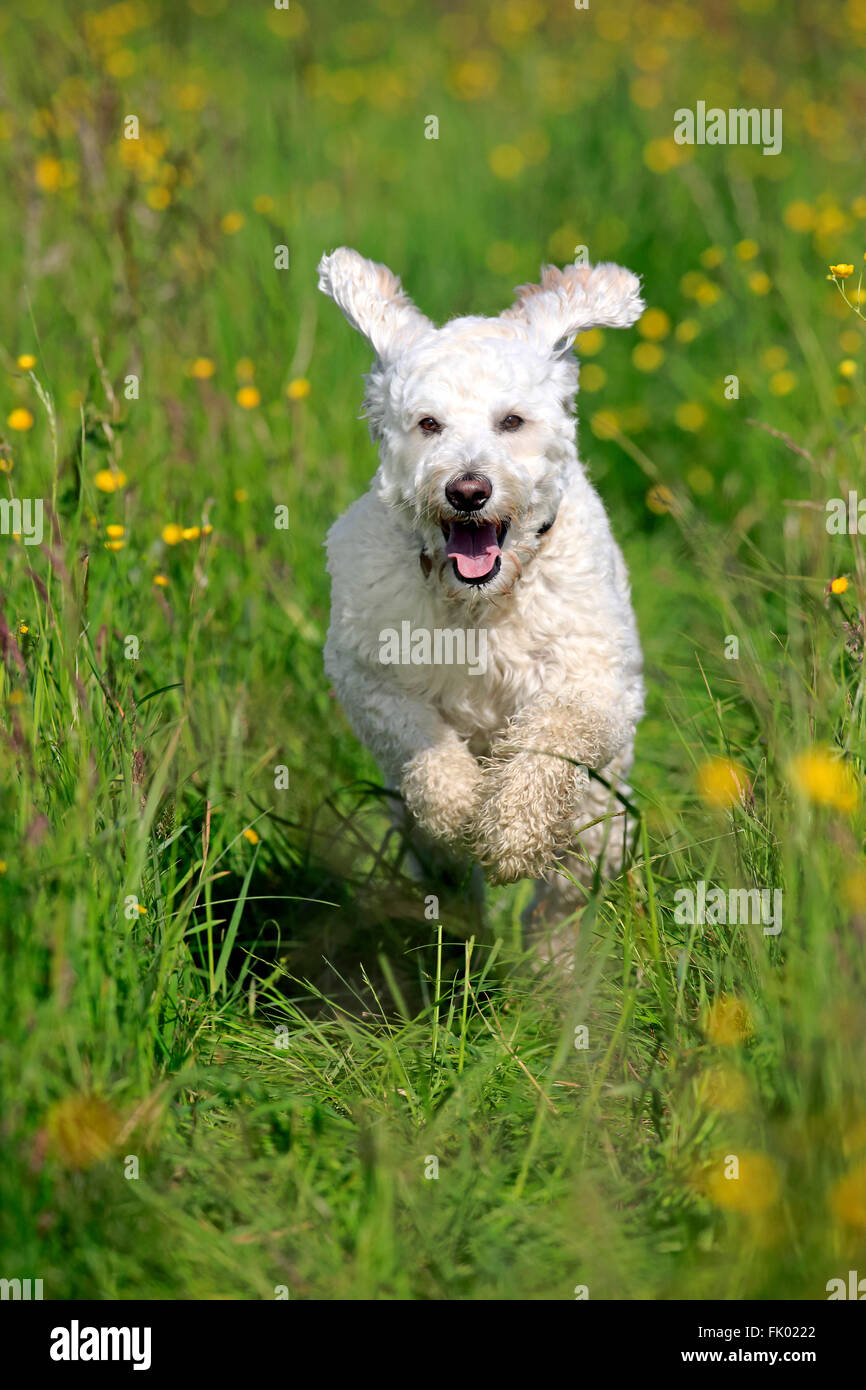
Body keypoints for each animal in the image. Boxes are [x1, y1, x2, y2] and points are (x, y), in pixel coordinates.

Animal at [318, 250, 644, 961]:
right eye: (428, 424)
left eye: (511, 422)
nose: (468, 490)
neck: (481, 606)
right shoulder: (367, 677)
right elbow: (423, 743)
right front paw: (464, 807)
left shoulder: (594, 682)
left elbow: (551, 738)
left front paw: (510, 830)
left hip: (601, 823)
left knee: (563, 896)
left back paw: (554, 964)